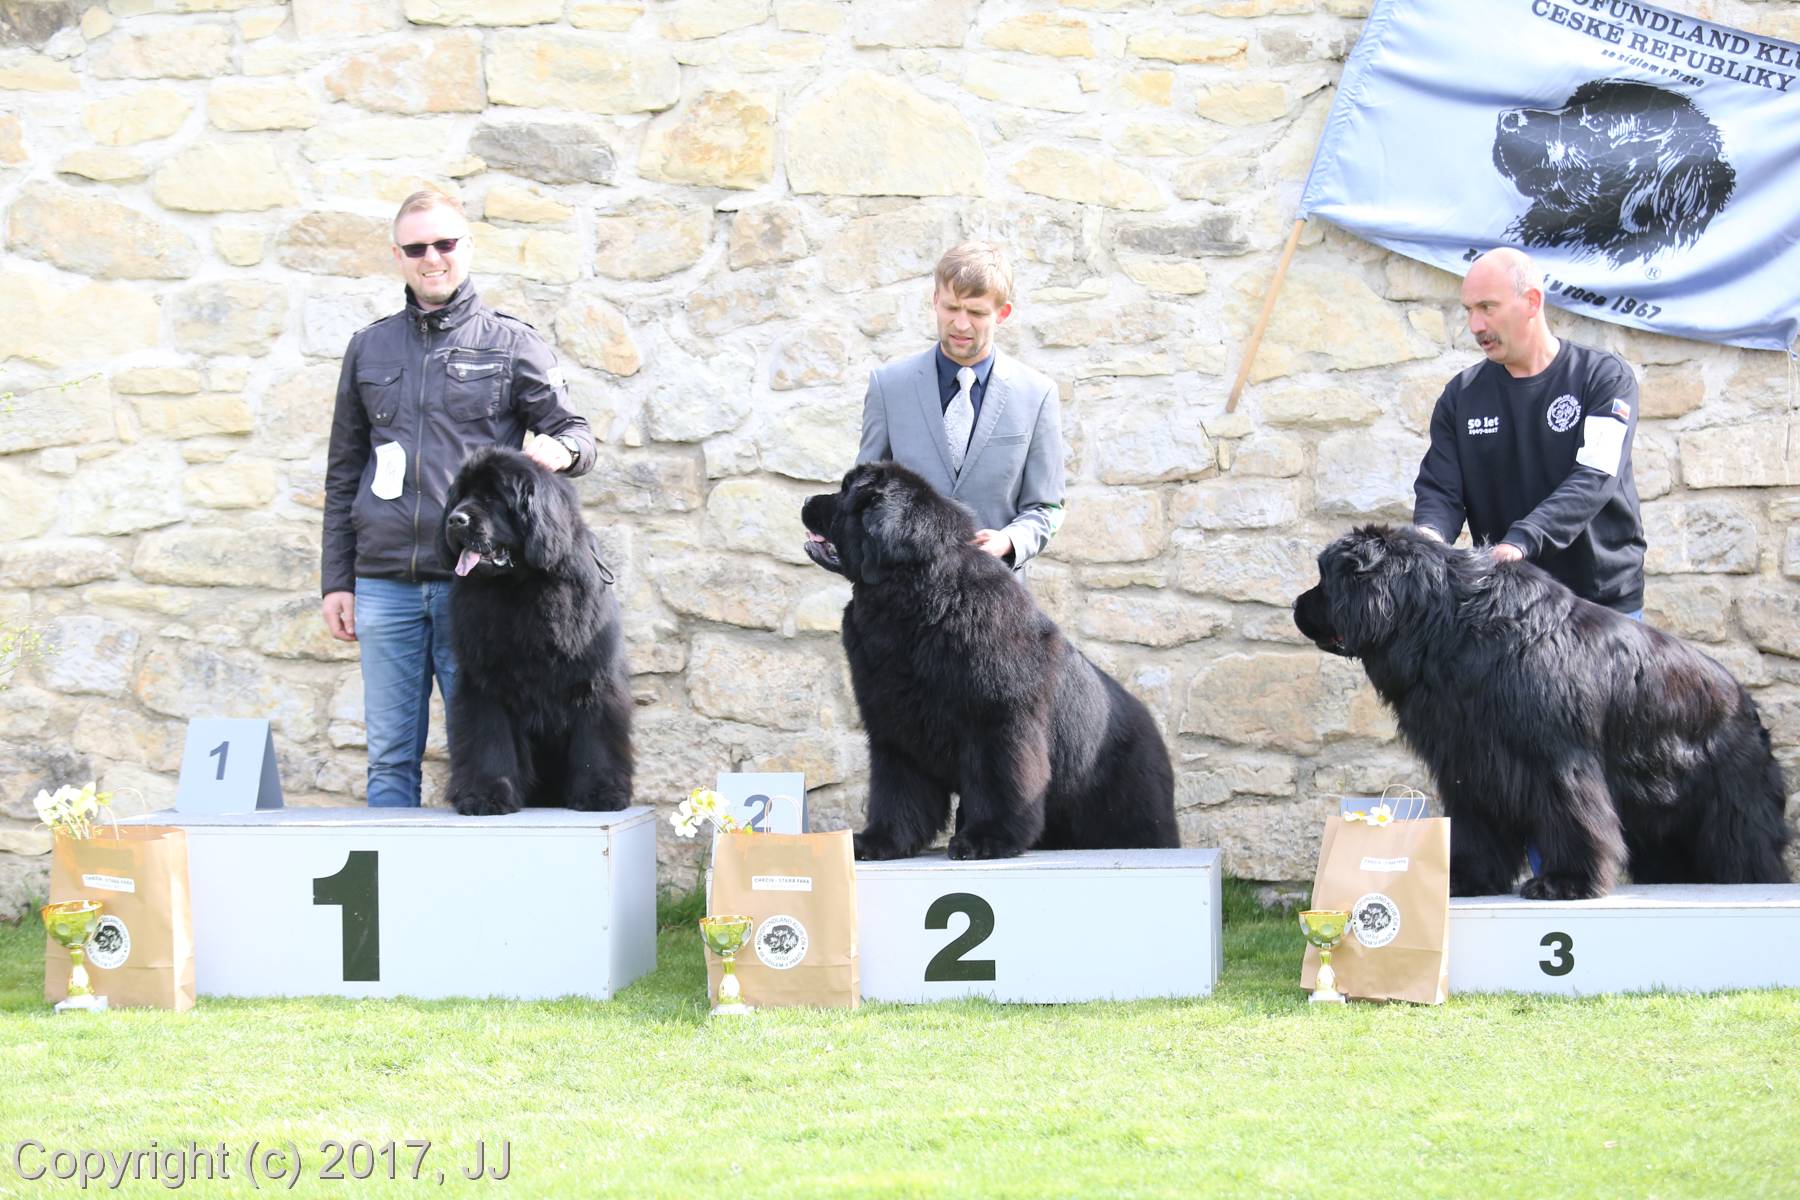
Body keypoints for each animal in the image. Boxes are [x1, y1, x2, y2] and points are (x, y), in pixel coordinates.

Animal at [438, 447, 633, 815]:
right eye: (460, 496)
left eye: (493, 497)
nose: (455, 520)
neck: (523, 587)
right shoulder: (484, 683)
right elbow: (490, 738)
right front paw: (486, 796)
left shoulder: (593, 678)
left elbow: (595, 740)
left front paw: (601, 794)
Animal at [801, 461, 1178, 861]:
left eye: (846, 491)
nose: (807, 500)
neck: (921, 603)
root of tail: (1150, 724)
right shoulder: (895, 728)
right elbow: (897, 792)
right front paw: (881, 841)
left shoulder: (998, 723)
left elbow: (1000, 785)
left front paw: (985, 840)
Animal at [1294, 525, 1789, 899]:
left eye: (1326, 579)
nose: (1296, 606)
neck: (1449, 625)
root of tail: (1744, 701)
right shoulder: (1470, 761)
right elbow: (1476, 825)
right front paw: (1466, 878)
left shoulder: (1558, 760)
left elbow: (1574, 818)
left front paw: (1566, 883)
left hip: (1730, 808)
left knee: (1749, 853)